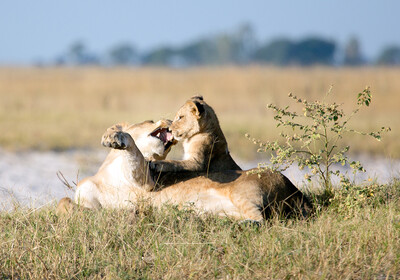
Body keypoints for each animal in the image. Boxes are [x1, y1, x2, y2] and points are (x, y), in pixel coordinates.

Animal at [57, 122, 312, 221]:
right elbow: (63, 201)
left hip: (245, 193)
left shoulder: (147, 180)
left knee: (261, 218)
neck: (105, 174)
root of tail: (296, 191)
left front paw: (115, 137)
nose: (170, 122)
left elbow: (134, 151)